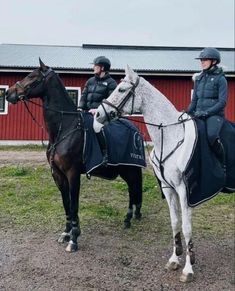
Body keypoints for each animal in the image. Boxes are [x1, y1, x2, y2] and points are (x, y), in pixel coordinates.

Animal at [6, 60, 143, 253]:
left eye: (32, 76)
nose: (8, 93)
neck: (64, 129)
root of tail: (135, 130)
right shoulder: (58, 175)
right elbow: (66, 204)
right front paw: (66, 233)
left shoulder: (72, 174)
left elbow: (74, 204)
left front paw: (74, 239)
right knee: (134, 190)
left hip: (130, 169)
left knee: (133, 189)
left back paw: (129, 218)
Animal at [94, 65, 198, 282]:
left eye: (122, 90)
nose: (97, 114)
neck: (172, 137)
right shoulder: (168, 188)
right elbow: (175, 222)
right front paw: (175, 259)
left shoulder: (185, 191)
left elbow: (186, 227)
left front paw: (188, 269)